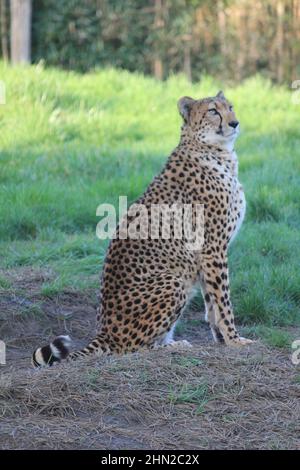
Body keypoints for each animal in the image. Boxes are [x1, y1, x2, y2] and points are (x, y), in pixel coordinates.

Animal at [32, 89, 253, 368]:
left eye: (230, 107)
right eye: (213, 111)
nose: (235, 123)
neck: (216, 151)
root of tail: (103, 330)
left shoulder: (207, 255)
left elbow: (211, 301)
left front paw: (222, 339)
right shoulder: (213, 248)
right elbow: (223, 300)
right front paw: (234, 339)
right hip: (173, 282)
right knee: (130, 348)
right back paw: (172, 347)